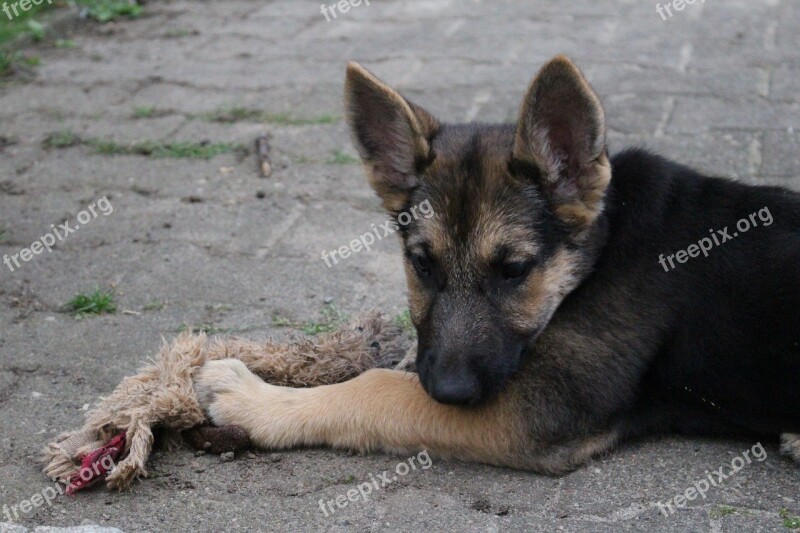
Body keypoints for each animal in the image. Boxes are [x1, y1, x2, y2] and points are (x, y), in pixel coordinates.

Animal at [195, 54, 800, 472]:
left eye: (514, 271)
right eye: (421, 264)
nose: (449, 391)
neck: (602, 247)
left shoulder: (540, 405)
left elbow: (374, 389)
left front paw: (253, 400)